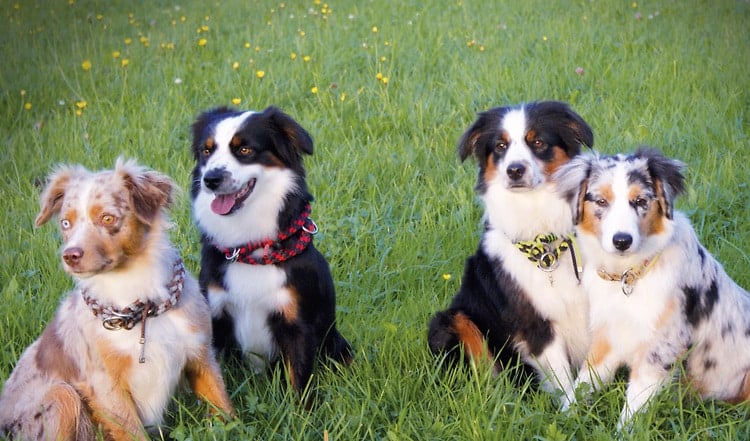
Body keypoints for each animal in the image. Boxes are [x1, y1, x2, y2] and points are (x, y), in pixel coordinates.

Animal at [0, 159, 235, 440]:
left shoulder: (201, 354)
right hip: (62, 395)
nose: (70, 256)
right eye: (66, 223)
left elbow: (223, 406)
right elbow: (131, 432)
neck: (138, 302)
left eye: (107, 218)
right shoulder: (104, 383)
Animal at [188, 105, 352, 390]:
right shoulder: (215, 316)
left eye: (244, 150)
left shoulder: (297, 324)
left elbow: (300, 385)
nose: (211, 179)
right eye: (206, 151)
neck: (249, 248)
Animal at [432, 101, 596, 398]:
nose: (515, 170)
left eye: (538, 142)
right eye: (500, 146)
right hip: (450, 320)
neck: (545, 242)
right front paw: (572, 408)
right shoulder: (534, 321)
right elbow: (561, 378)